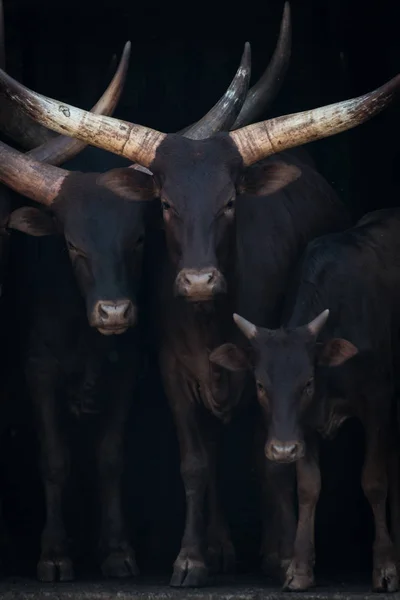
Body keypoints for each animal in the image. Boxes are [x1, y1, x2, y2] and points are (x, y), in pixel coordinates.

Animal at [209, 209, 400, 592]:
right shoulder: (303, 427)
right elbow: (309, 486)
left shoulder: (378, 402)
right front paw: (298, 568)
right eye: (260, 384)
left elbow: (374, 481)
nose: (281, 450)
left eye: (308, 382)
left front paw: (386, 567)